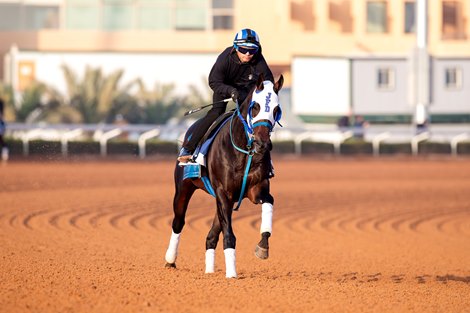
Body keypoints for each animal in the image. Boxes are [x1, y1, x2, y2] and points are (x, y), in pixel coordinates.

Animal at [164, 73, 282, 278]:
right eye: (256, 107)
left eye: (276, 109)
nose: (262, 144)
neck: (244, 151)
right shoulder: (223, 192)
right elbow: (229, 235)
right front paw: (232, 273)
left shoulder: (254, 190)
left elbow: (269, 203)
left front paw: (262, 247)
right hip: (183, 189)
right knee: (178, 222)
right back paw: (170, 259)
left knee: (211, 236)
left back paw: (209, 271)